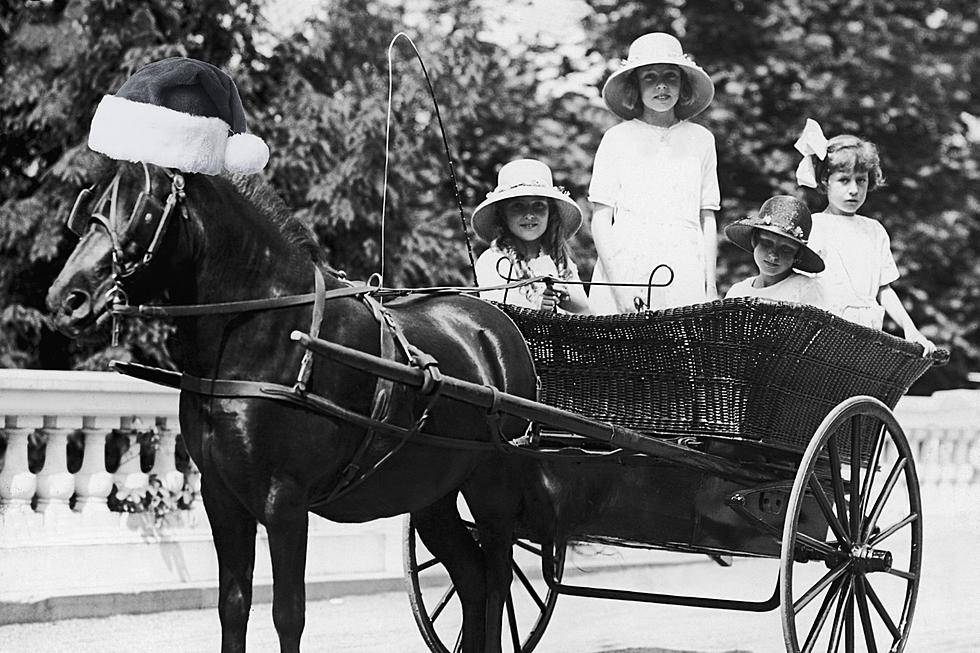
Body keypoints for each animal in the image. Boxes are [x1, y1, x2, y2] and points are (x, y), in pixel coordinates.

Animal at [46, 159, 544, 652]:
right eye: (88, 206)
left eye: (140, 209)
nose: (65, 299)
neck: (268, 333)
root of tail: (496, 326)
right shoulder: (221, 496)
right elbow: (233, 606)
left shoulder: (284, 500)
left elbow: (288, 614)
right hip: (431, 493)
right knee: (473, 578)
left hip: (492, 487)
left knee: (498, 581)